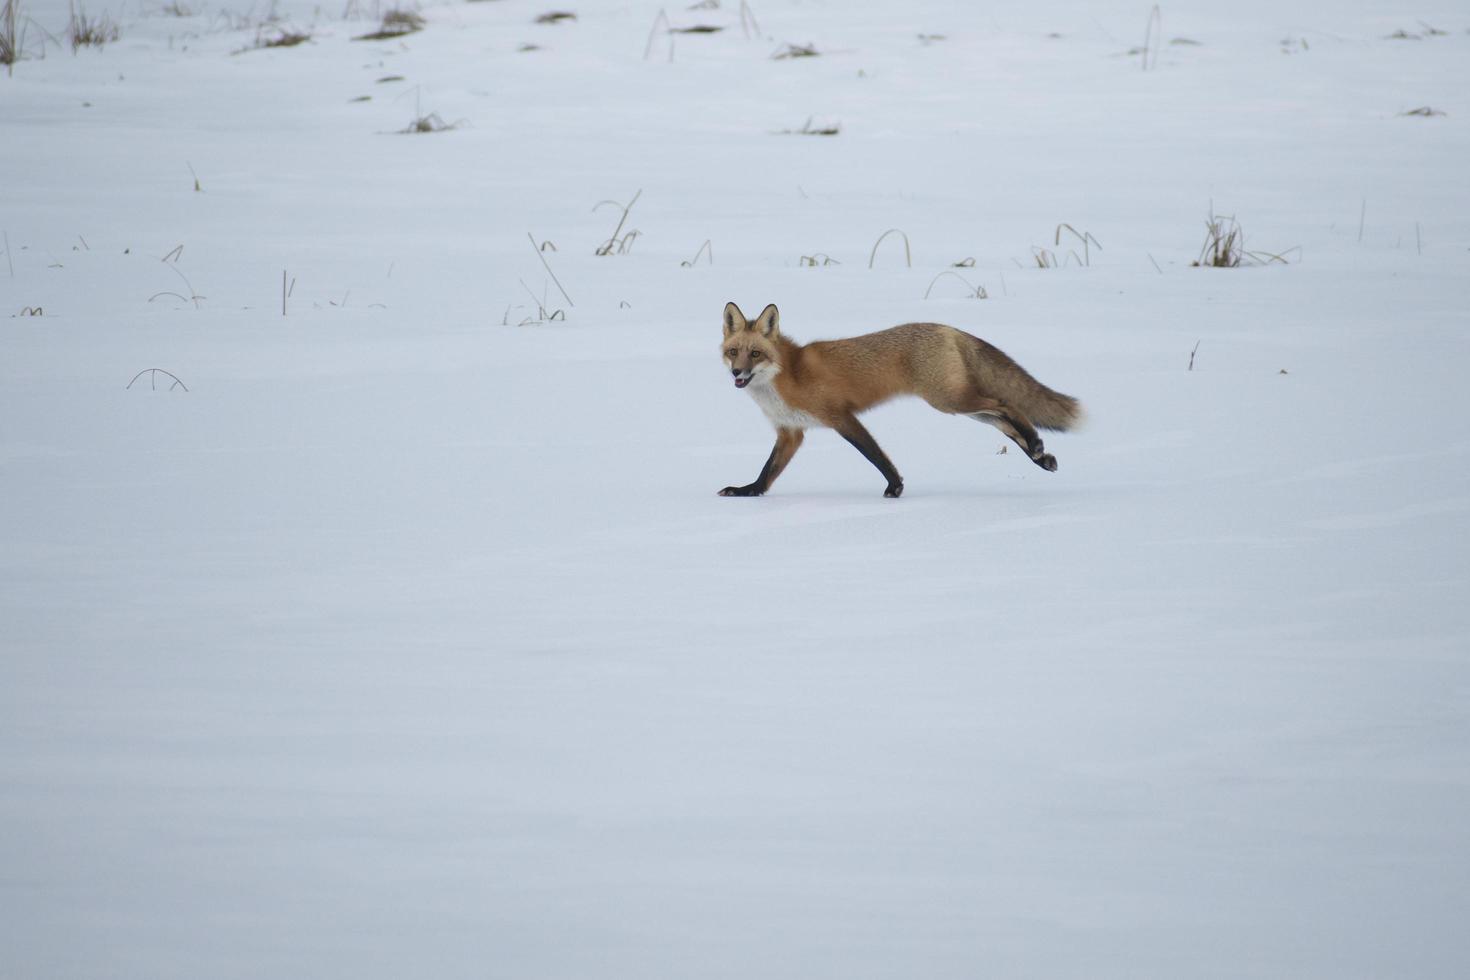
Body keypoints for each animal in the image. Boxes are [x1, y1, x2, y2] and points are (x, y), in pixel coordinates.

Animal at [720, 301, 1081, 502]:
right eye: (733, 351)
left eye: (756, 354)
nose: (737, 372)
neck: (786, 375)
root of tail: (948, 327)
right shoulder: (790, 433)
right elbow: (768, 471)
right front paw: (748, 491)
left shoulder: (841, 416)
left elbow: (876, 455)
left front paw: (895, 487)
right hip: (961, 404)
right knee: (1004, 421)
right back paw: (1040, 455)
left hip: (950, 400)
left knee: (1006, 405)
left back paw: (1036, 446)